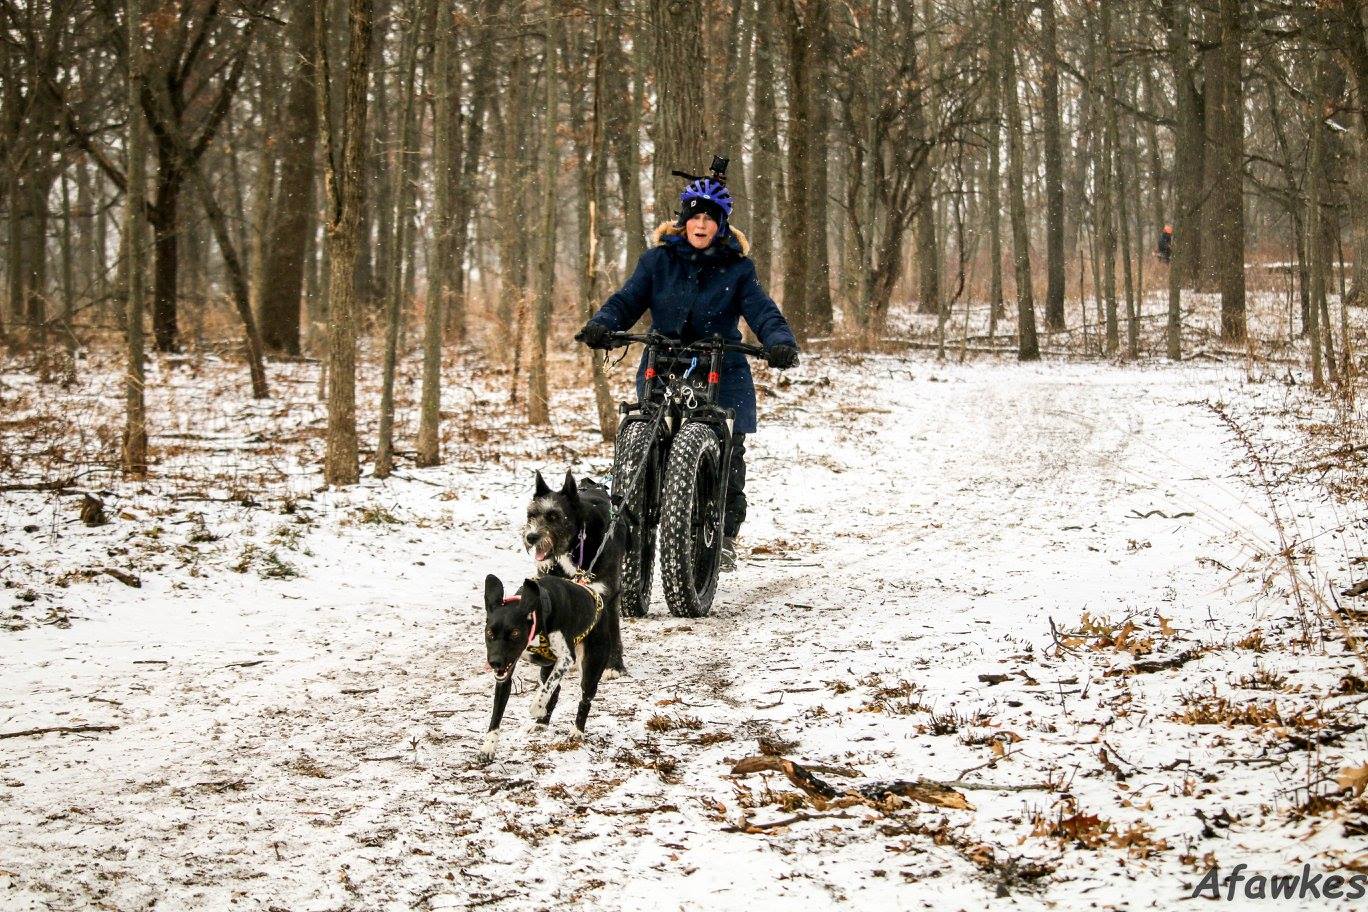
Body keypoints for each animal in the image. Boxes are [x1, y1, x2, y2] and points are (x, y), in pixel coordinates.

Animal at [476, 574, 615, 760]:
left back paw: (577, 731)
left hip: (591, 670)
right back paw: (542, 724)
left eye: (515, 633)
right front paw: (488, 747)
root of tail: (595, 596)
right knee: (555, 691)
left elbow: (544, 693)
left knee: (585, 699)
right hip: (546, 669)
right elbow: (496, 714)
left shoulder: (565, 659)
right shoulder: (505, 675)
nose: (495, 662)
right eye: (489, 632)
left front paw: (538, 710)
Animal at [525, 470, 626, 678]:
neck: (575, 546)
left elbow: (613, 631)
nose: (531, 537)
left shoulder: (608, 594)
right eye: (531, 515)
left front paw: (614, 665)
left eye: (554, 516)